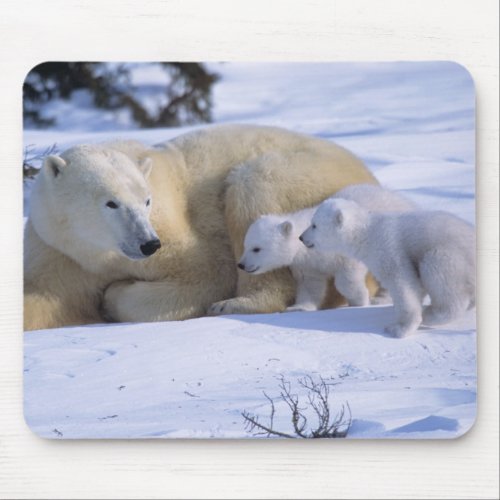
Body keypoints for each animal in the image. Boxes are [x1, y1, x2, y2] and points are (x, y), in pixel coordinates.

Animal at [22, 123, 376, 330]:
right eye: (111, 203)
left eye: (146, 200)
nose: (148, 244)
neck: (95, 252)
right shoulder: (57, 248)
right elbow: (44, 296)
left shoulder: (173, 231)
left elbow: (207, 272)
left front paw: (112, 296)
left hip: (301, 178)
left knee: (254, 188)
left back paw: (235, 303)